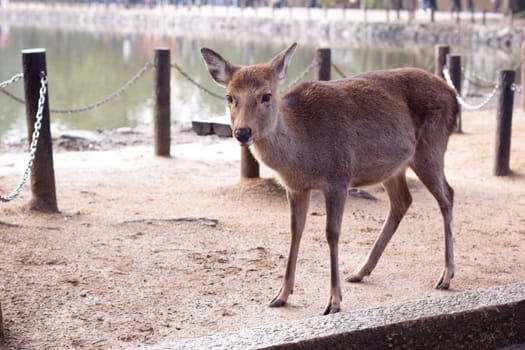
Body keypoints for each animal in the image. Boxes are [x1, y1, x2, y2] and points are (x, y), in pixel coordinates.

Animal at [199, 43, 456, 314]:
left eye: (266, 95)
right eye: (229, 97)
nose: (242, 132)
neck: (302, 158)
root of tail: (452, 93)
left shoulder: (338, 178)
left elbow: (332, 233)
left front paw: (334, 302)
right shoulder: (295, 187)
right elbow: (295, 230)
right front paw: (280, 295)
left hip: (431, 148)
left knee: (447, 196)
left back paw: (445, 276)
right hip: (393, 166)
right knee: (402, 201)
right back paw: (360, 272)